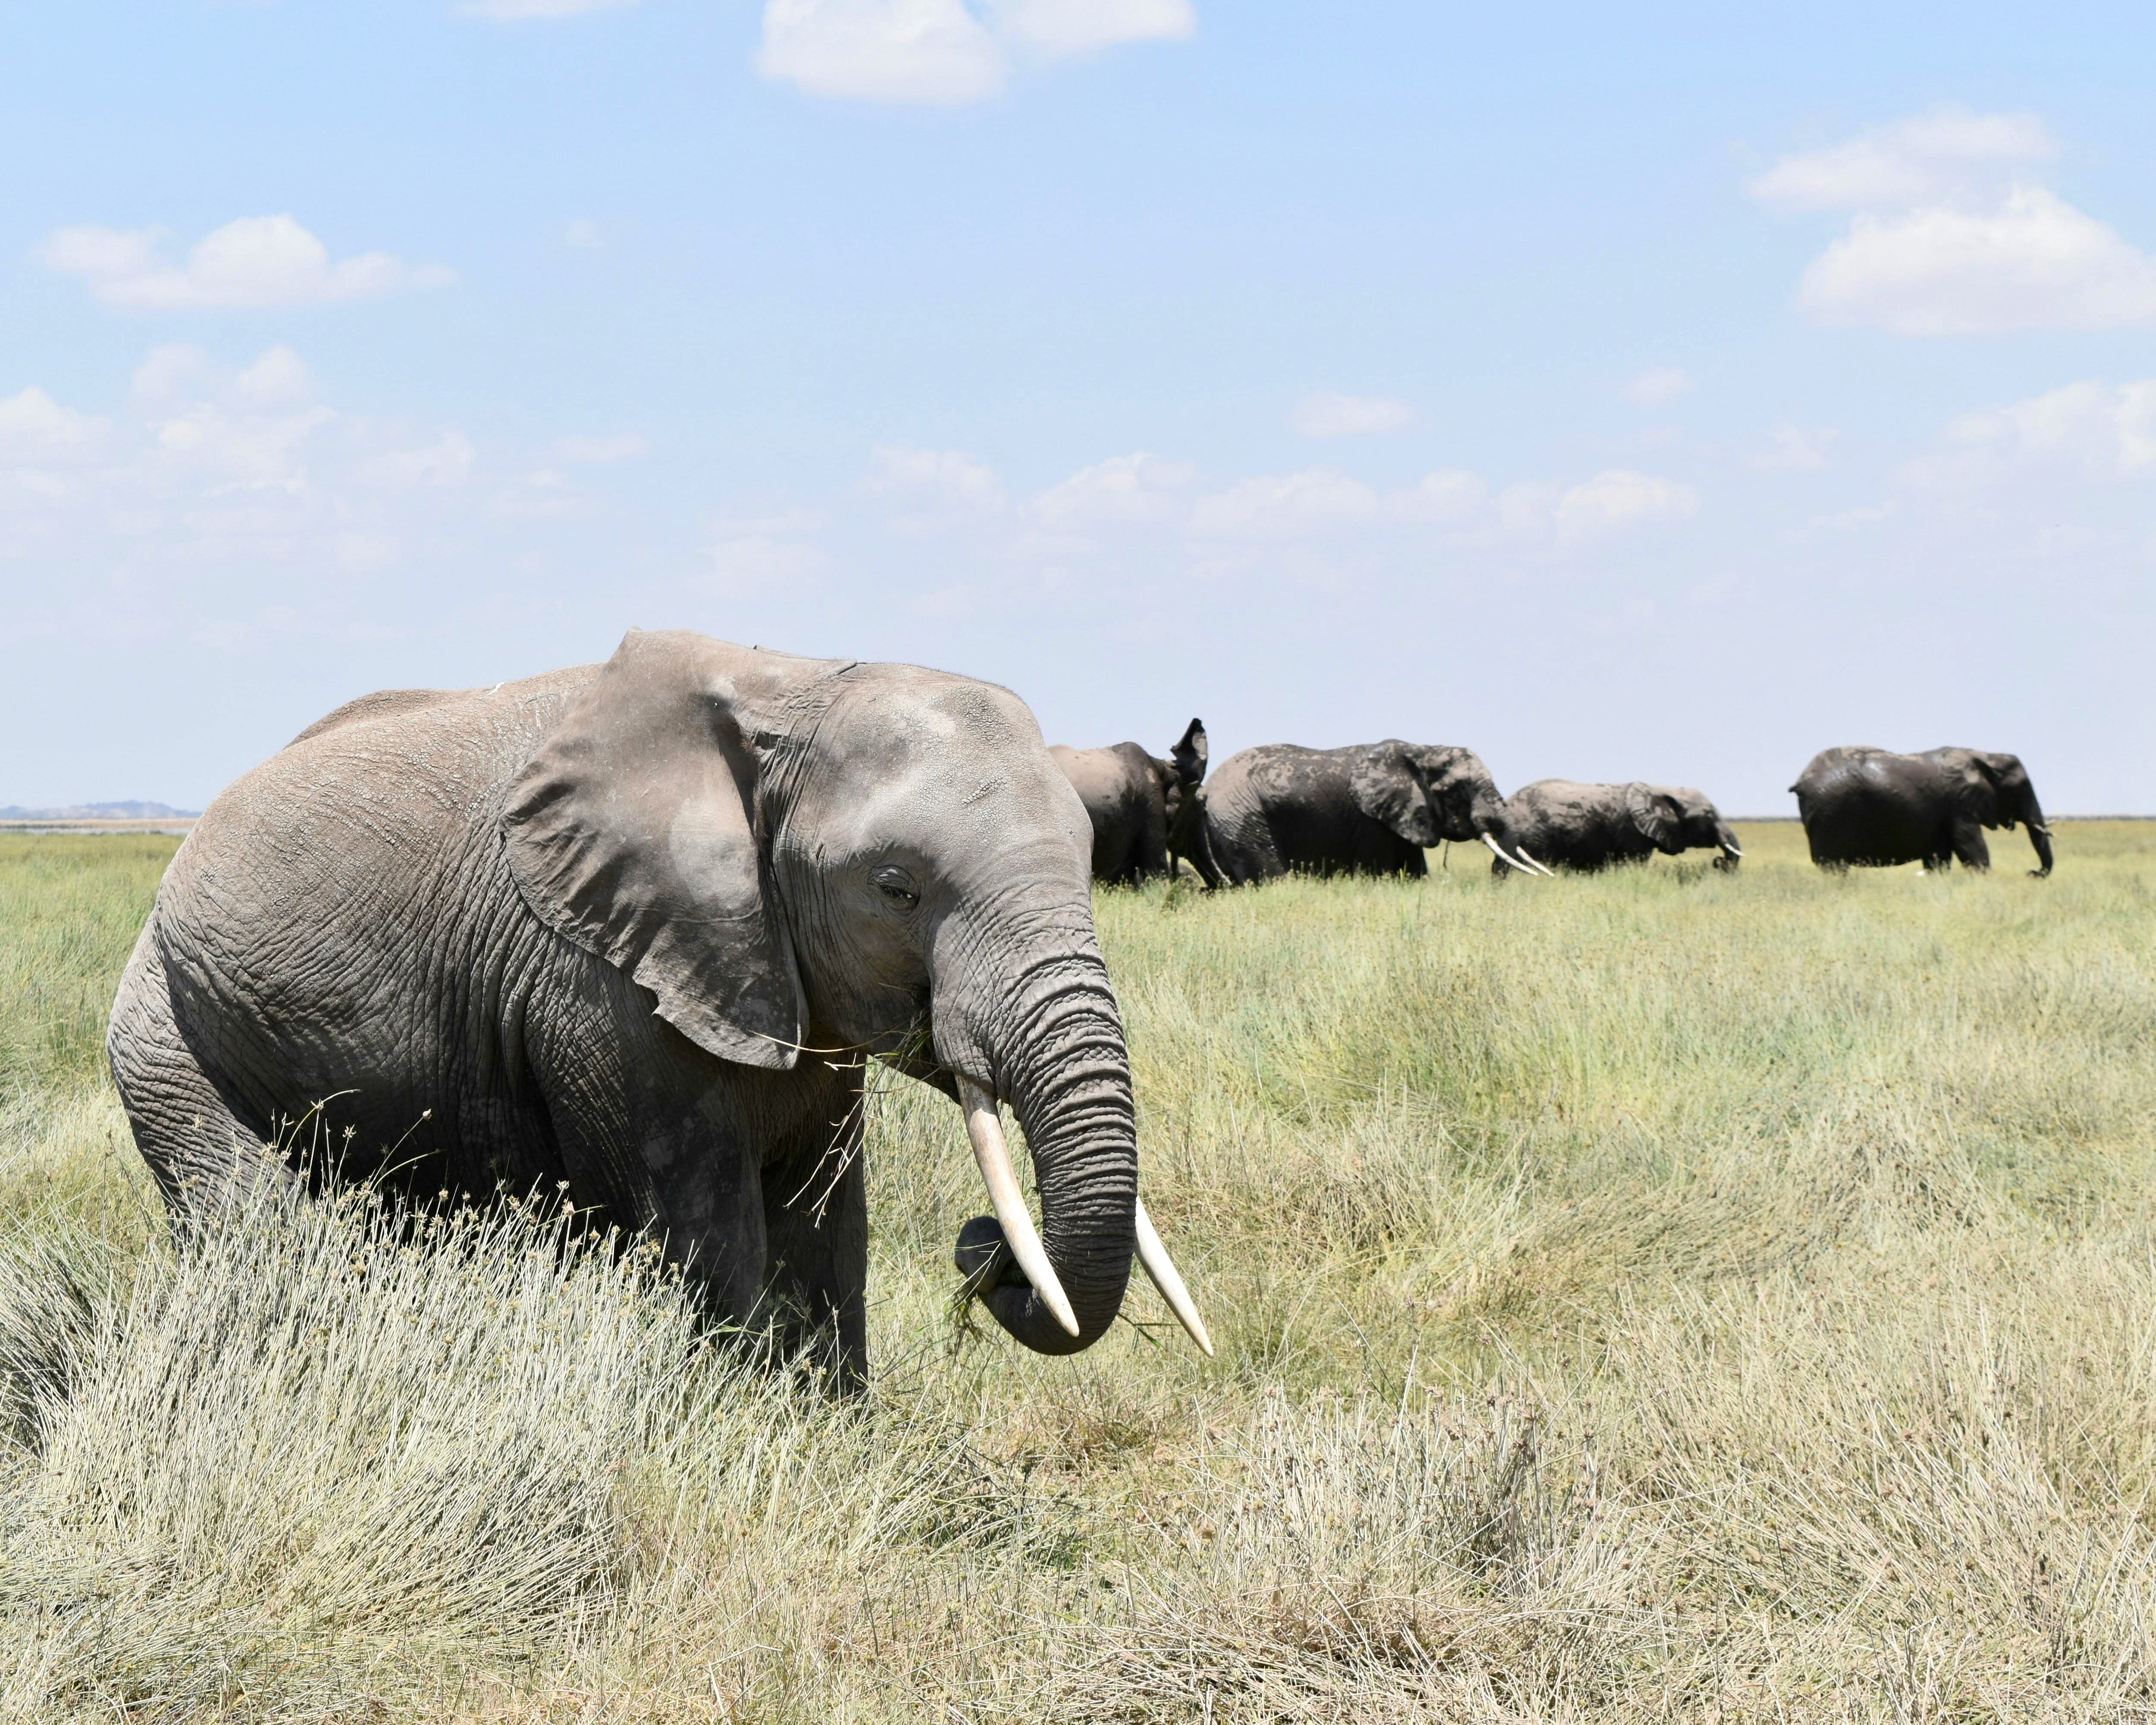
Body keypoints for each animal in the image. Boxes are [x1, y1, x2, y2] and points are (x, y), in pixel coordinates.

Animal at [1190, 740, 1544, 885]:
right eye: (1455, 791)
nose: (1495, 889)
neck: (1420, 749)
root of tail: (1206, 791)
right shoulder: (1372, 821)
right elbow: (1380, 870)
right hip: (1243, 817)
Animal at [1791, 746, 2053, 876]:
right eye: (2023, 789)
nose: (2032, 872)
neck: (1987, 757)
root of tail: (1802, 780)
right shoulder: (1960, 803)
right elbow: (1971, 848)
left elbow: (1938, 858)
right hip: (1830, 814)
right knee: (1833, 865)